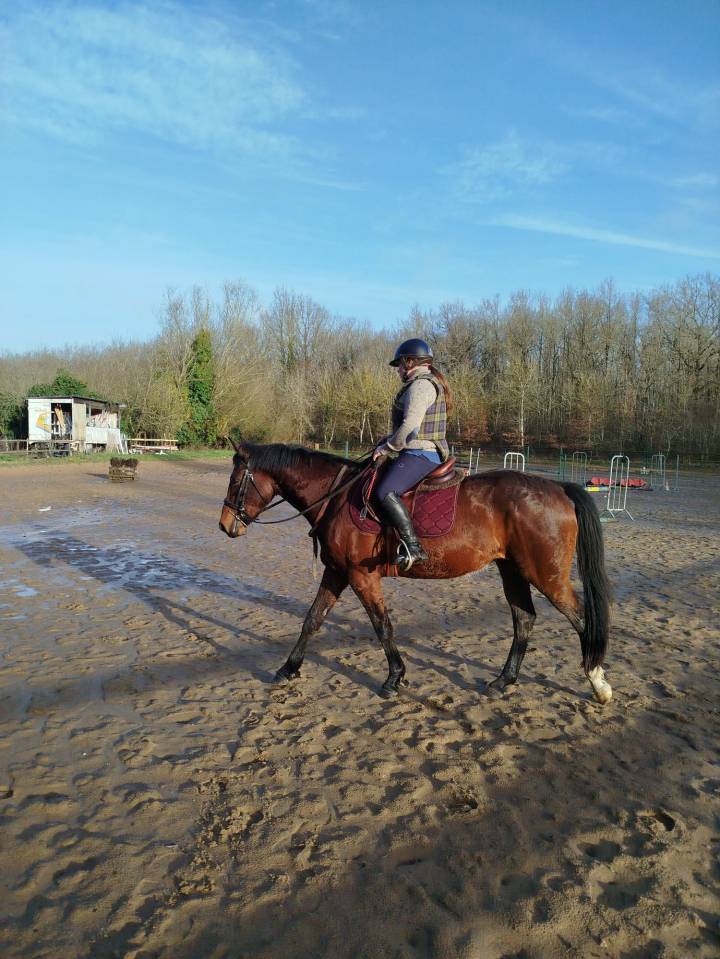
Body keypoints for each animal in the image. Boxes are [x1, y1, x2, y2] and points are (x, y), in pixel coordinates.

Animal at [219, 441, 613, 705]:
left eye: (236, 480)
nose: (224, 526)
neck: (336, 497)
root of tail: (559, 488)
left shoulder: (362, 576)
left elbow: (382, 625)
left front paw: (395, 677)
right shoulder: (337, 573)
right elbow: (312, 619)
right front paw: (288, 669)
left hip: (546, 575)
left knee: (581, 618)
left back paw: (598, 683)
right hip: (513, 571)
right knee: (524, 619)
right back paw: (505, 680)